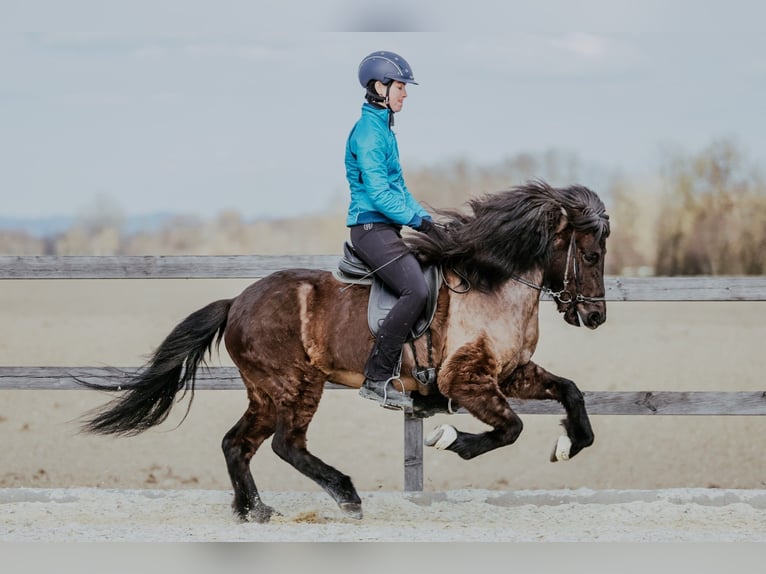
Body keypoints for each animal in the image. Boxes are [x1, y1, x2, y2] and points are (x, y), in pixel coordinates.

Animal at [80, 179, 610, 523]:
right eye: (591, 255)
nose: (595, 317)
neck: (492, 287)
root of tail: (237, 302)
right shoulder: (465, 379)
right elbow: (511, 428)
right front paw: (451, 439)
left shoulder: (513, 373)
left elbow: (571, 392)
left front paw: (569, 444)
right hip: (297, 384)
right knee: (286, 444)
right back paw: (347, 496)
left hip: (265, 392)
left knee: (238, 443)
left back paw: (255, 510)